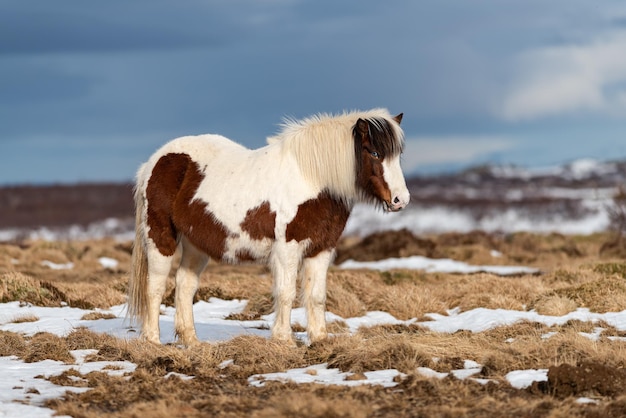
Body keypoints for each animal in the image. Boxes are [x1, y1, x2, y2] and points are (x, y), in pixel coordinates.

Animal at [127, 108, 410, 346]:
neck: (312, 178)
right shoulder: (287, 248)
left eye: (398, 155)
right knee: (155, 286)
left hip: (195, 245)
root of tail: (154, 161)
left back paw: (192, 342)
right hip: (160, 237)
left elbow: (317, 296)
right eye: (374, 152)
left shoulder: (322, 248)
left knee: (184, 286)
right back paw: (152, 340)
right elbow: (286, 293)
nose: (401, 200)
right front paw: (284, 340)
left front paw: (320, 340)